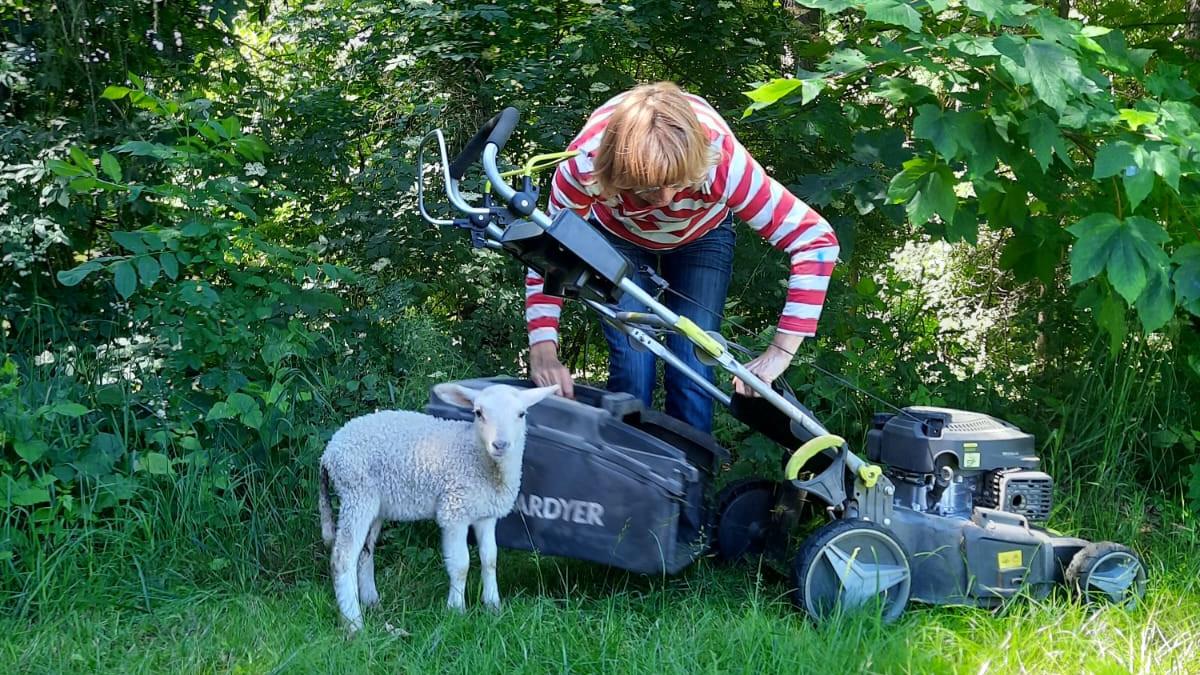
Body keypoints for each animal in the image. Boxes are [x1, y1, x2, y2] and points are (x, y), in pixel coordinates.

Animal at [319, 381, 561, 634]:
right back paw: (354, 624)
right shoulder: (454, 511)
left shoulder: (486, 515)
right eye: (478, 413)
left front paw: (493, 607)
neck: (479, 459)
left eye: (521, 414)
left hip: (374, 503)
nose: (500, 445)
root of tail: (329, 452)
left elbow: (490, 559)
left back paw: (371, 602)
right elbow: (461, 564)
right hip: (356, 493)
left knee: (365, 552)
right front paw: (456, 611)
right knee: (342, 557)